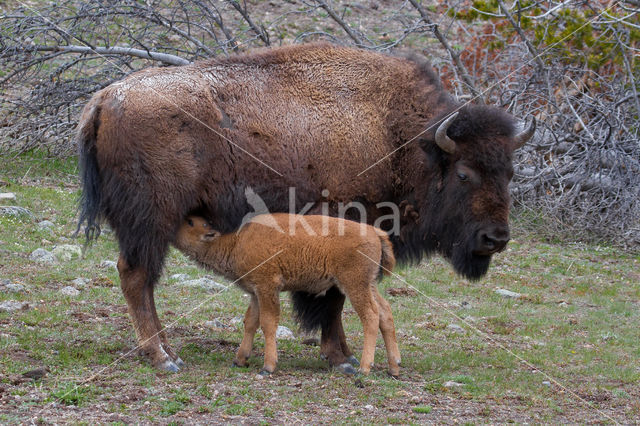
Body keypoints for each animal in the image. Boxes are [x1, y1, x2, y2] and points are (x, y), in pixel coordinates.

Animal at [175, 213, 400, 376]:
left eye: (190, 222)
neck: (237, 241)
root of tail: (374, 232)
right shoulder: (255, 293)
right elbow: (250, 322)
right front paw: (239, 360)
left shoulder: (267, 287)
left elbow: (268, 322)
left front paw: (267, 367)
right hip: (369, 284)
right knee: (385, 313)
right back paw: (394, 367)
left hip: (355, 285)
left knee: (371, 316)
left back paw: (364, 368)